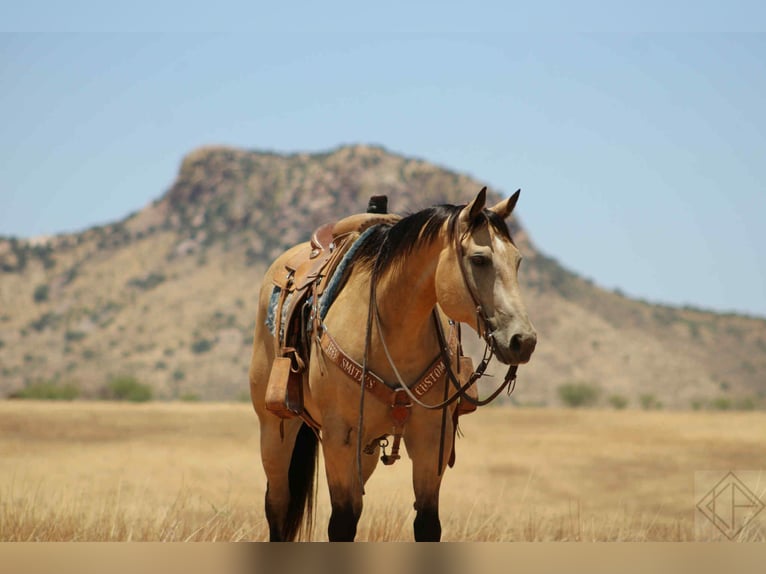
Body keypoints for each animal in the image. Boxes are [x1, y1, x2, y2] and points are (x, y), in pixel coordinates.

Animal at [248, 187, 537, 541]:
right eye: (479, 259)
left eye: (517, 261)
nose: (523, 340)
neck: (389, 326)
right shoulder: (340, 438)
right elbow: (342, 523)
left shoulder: (431, 440)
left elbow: (426, 523)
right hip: (275, 429)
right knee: (277, 505)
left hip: (368, 451)